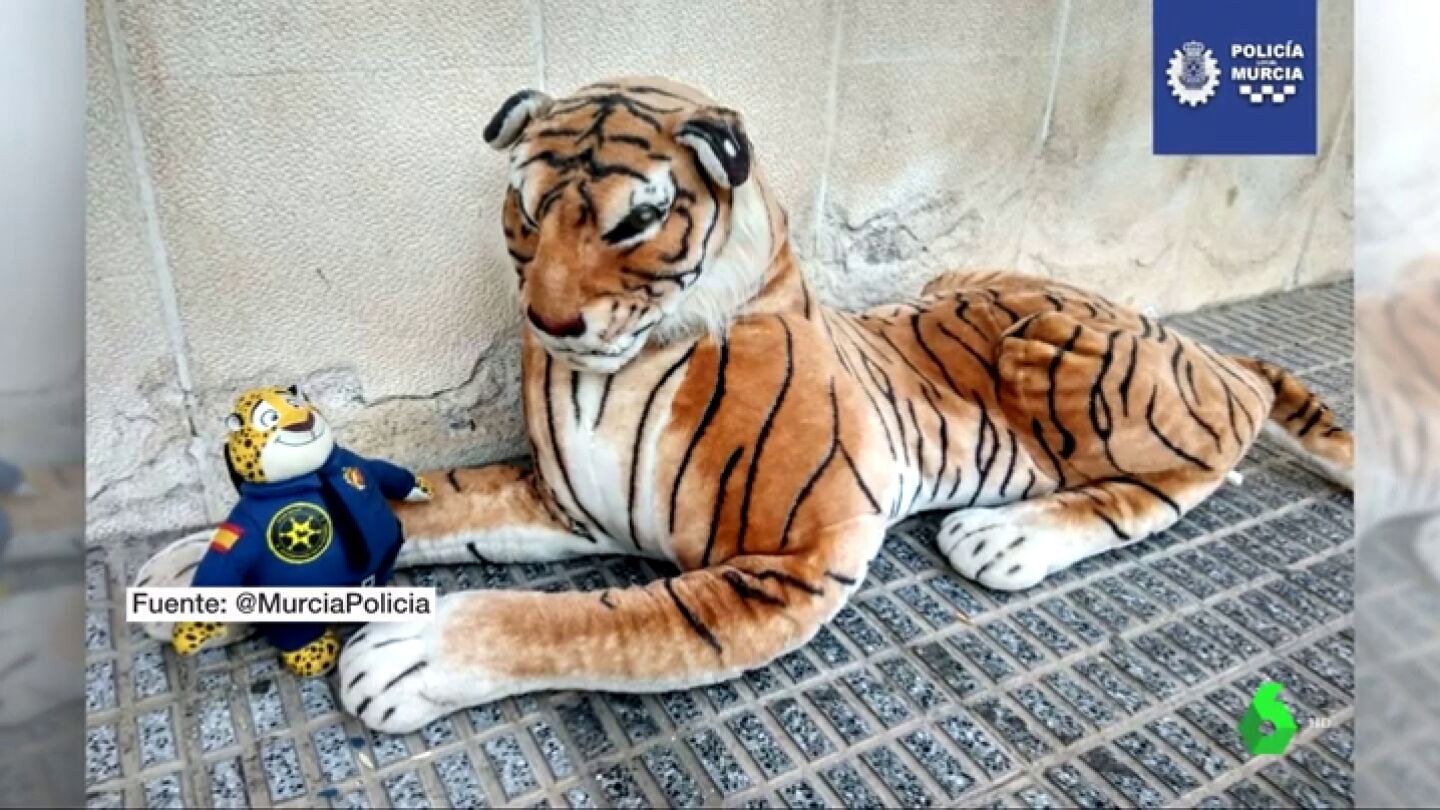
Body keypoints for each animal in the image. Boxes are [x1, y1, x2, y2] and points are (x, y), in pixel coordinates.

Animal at [138, 76, 1352, 733]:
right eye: (523, 211)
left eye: (633, 221)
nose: (549, 321)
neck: (611, 373)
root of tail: (1181, 334)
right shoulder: (560, 503)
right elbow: (427, 499)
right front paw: (191, 563)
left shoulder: (789, 561)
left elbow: (589, 621)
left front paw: (407, 656)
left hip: (1065, 348)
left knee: (1208, 448)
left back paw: (1008, 536)